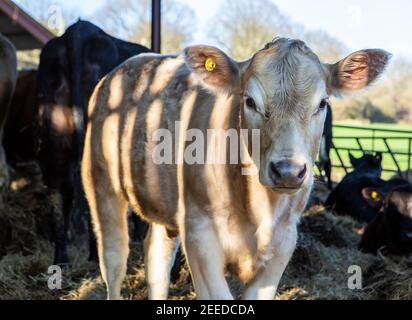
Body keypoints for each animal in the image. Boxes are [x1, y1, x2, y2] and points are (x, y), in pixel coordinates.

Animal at [81, 38, 390, 300]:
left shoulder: (284, 242)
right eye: (250, 101)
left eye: (322, 103)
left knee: (157, 260)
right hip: (100, 183)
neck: (260, 211)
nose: (288, 171)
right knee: (114, 260)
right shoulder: (200, 236)